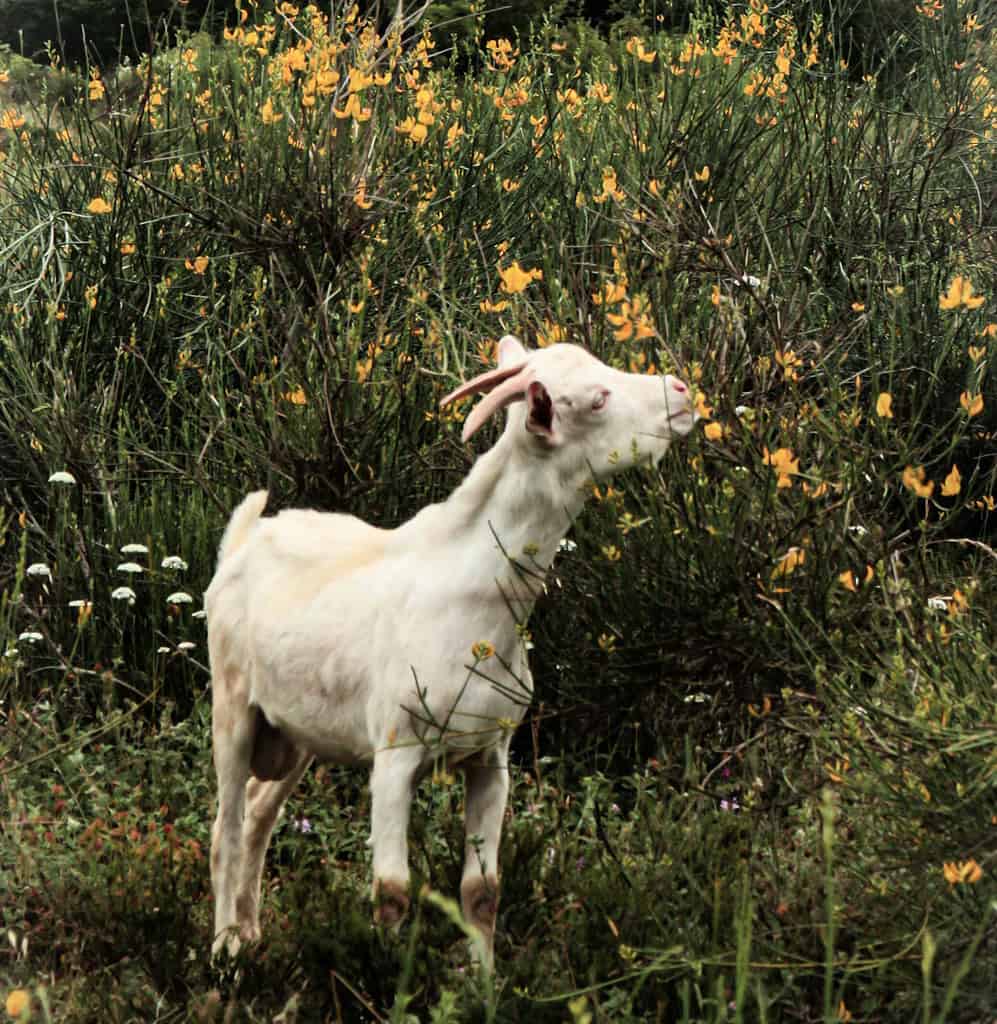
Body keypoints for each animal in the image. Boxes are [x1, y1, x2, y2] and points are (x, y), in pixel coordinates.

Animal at [206, 335, 695, 966]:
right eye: (597, 398)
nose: (681, 392)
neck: (473, 596)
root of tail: (244, 540)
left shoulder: (492, 756)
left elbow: (482, 890)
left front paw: (481, 978)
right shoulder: (395, 754)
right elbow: (391, 890)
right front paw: (388, 972)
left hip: (297, 732)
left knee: (261, 811)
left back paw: (251, 934)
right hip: (232, 702)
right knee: (227, 826)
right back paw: (224, 951)